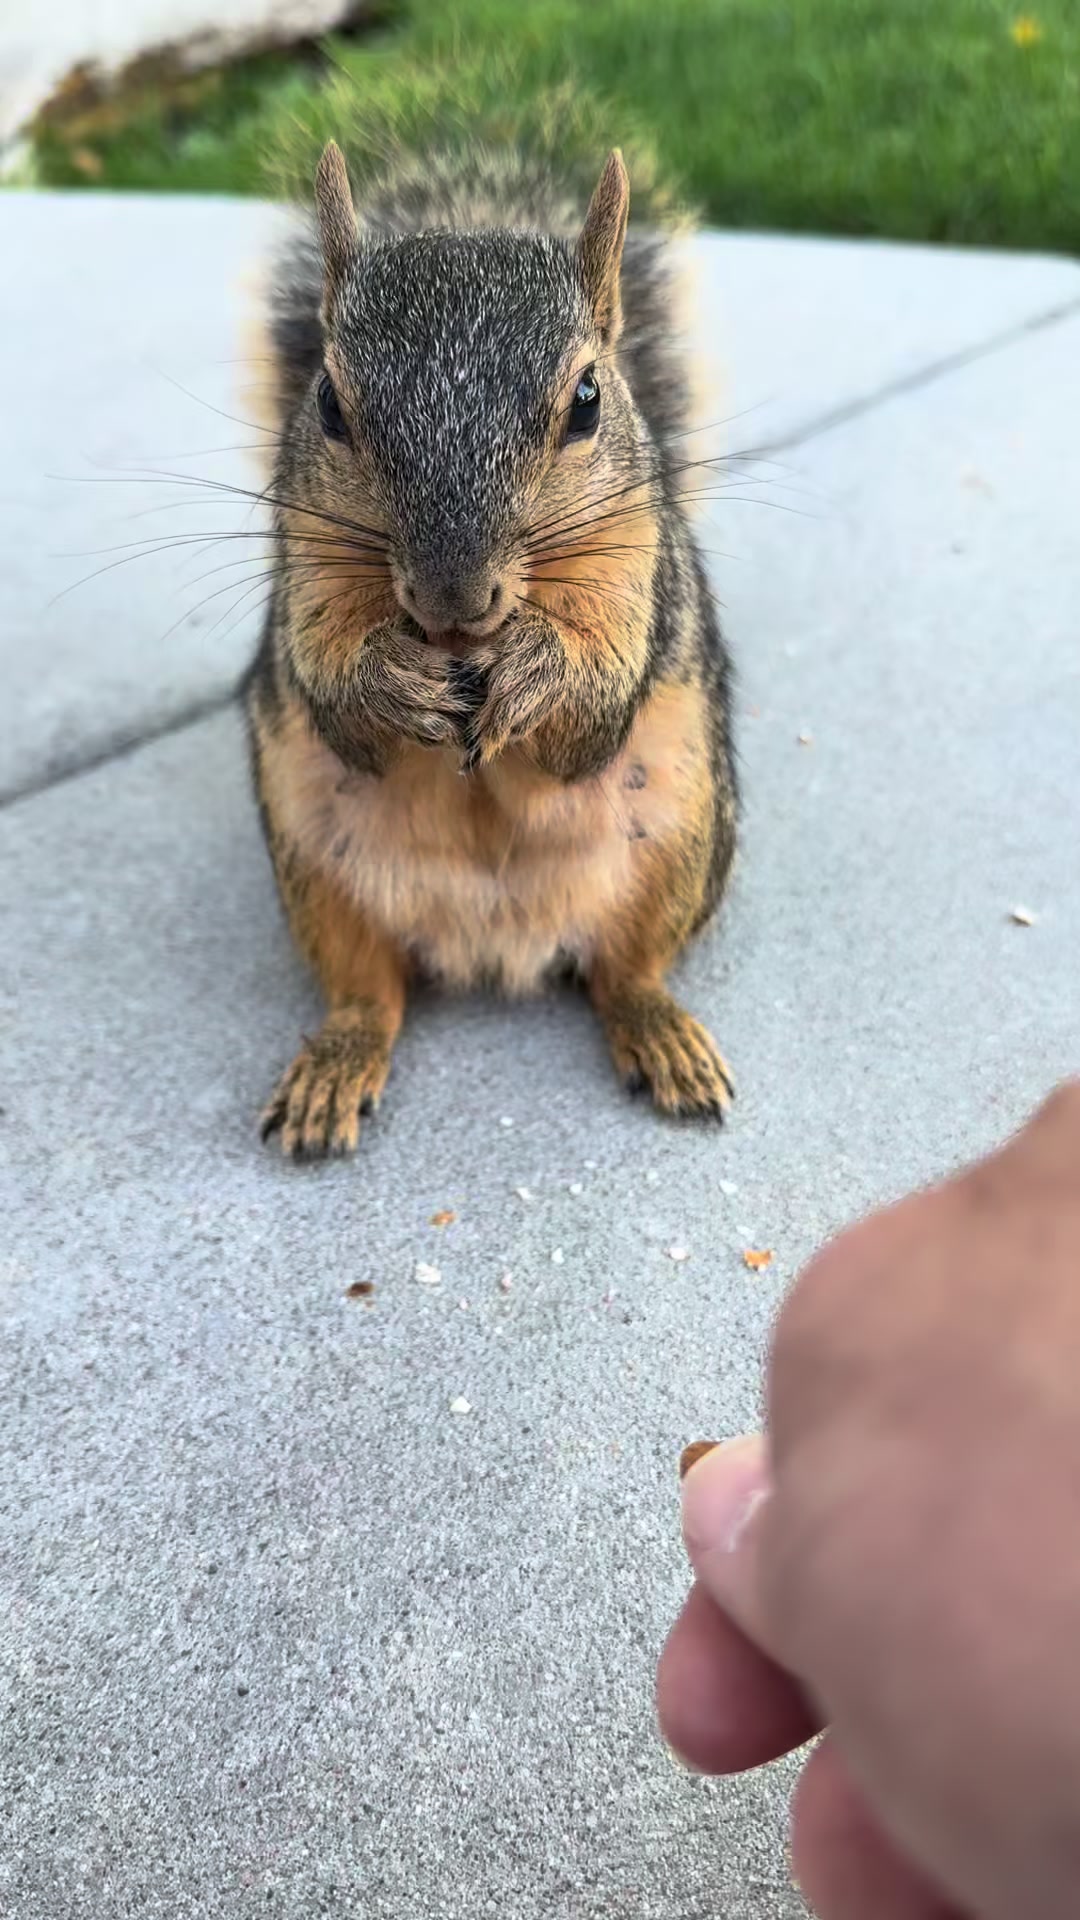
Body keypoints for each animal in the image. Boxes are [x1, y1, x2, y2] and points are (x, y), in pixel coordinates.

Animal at [245, 137, 738, 1157]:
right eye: (330, 403)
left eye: (588, 399)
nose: (451, 599)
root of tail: (496, 946)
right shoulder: (302, 576)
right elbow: (333, 695)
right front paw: (391, 683)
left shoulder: (641, 583)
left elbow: (592, 715)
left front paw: (535, 675)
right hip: (314, 871)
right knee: (369, 994)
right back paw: (334, 1065)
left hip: (683, 842)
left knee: (626, 974)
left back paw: (664, 1035)